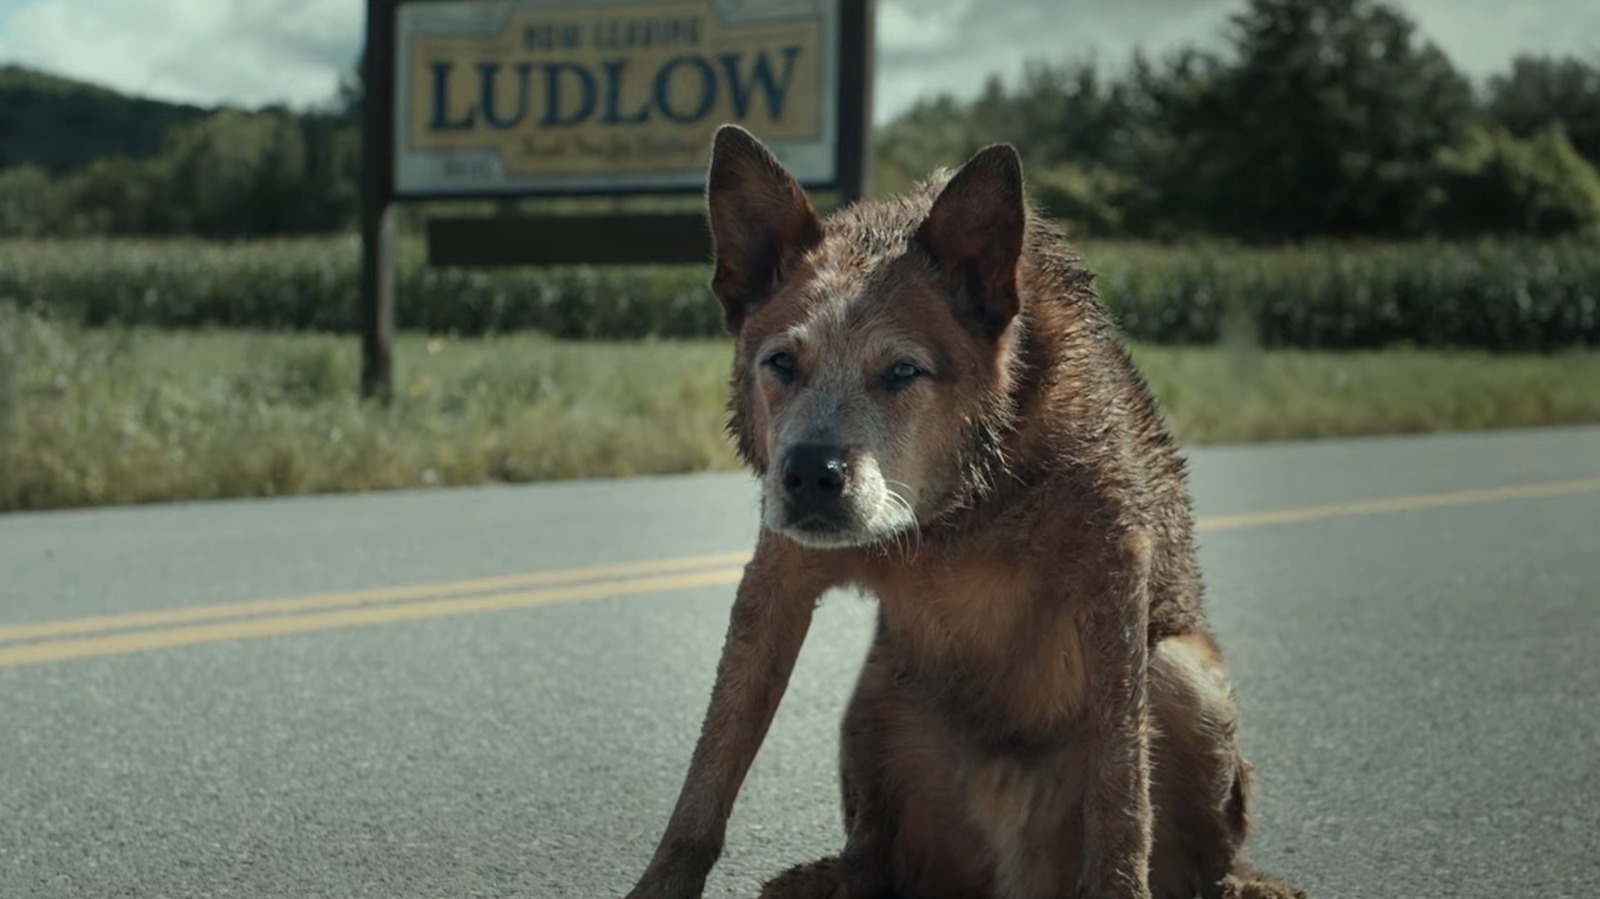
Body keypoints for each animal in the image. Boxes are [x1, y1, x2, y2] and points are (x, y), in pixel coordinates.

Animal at [611, 123, 1299, 895]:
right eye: (783, 362)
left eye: (903, 371)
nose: (810, 475)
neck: (958, 512)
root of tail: (1018, 872)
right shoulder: (777, 578)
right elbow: (708, 773)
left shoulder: (1113, 567)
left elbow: (1121, 790)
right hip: (879, 696)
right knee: (874, 852)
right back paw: (830, 878)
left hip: (1186, 674)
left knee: (1205, 849)